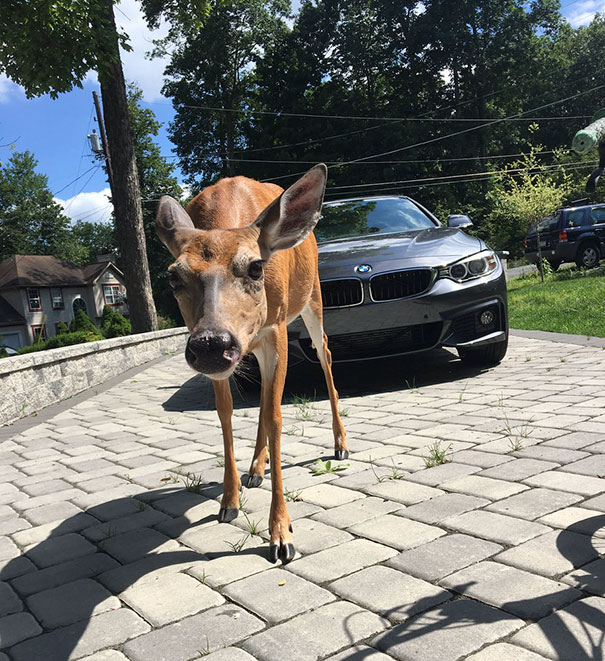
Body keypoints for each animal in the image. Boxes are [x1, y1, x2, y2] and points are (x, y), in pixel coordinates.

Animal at [155, 164, 348, 563]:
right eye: (173, 276)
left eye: (257, 267)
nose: (213, 344)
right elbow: (226, 412)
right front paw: (229, 502)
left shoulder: (277, 330)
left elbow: (276, 417)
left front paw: (281, 535)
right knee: (261, 394)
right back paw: (256, 468)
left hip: (312, 297)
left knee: (324, 352)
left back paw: (340, 443)